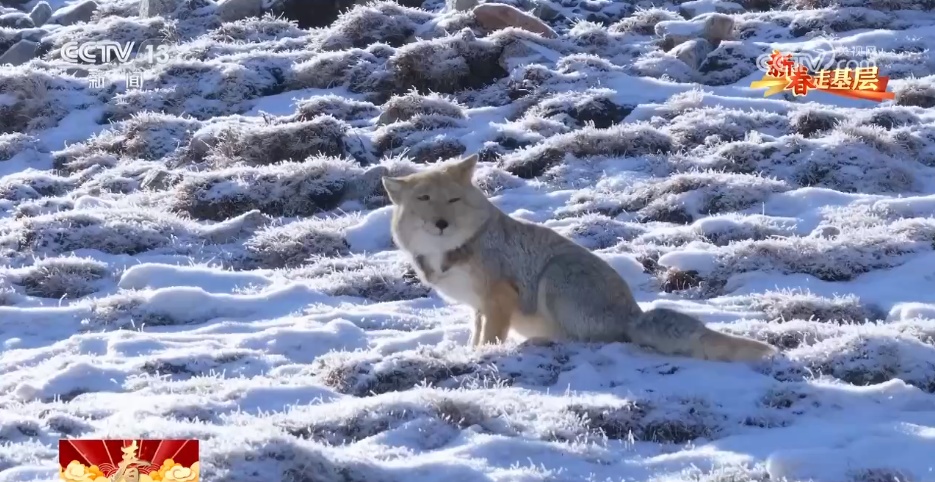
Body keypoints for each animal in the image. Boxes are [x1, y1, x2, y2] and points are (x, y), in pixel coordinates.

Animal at [382, 154, 784, 362]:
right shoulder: (479, 306)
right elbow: (476, 336)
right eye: (424, 199)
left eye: (452, 200)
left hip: (555, 277)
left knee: (588, 340)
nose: (441, 223)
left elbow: (490, 340)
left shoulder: (499, 298)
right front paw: (469, 354)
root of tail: (632, 314)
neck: (452, 251)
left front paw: (484, 356)